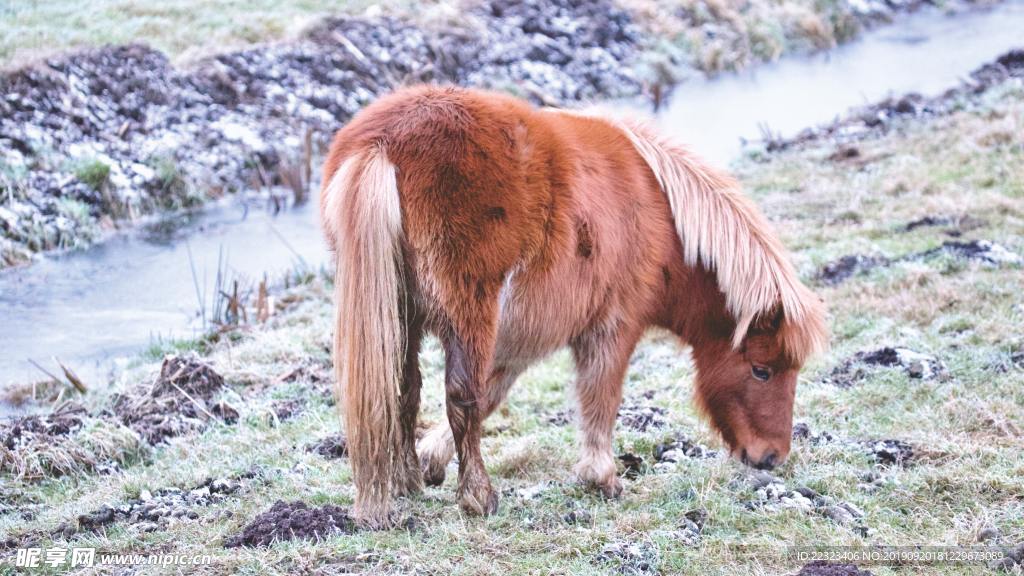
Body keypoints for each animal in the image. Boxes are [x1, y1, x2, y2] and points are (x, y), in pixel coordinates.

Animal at [323, 83, 827, 528]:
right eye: (762, 370)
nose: (771, 457)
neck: (662, 216)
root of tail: (384, 143)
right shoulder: (611, 327)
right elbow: (598, 395)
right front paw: (601, 478)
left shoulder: (520, 337)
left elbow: (493, 392)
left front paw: (431, 460)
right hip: (470, 315)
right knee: (459, 397)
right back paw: (478, 497)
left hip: (402, 317)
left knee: (404, 390)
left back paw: (407, 480)